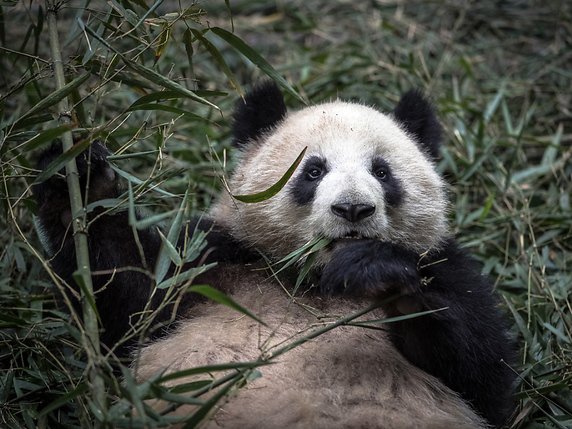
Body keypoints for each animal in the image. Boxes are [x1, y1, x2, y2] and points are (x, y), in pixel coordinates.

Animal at [33, 81, 516, 428]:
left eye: (382, 171)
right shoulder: (215, 261)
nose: (353, 209)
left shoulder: (445, 266)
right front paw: (80, 174)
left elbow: (480, 371)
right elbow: (126, 301)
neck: (313, 281)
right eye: (313, 170)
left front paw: (374, 268)